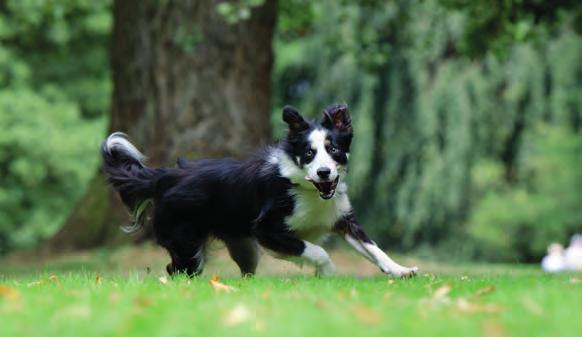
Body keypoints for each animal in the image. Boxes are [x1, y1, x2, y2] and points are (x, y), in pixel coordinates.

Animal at [101, 103, 420, 276]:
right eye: (308, 153)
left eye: (334, 150)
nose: (324, 172)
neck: (307, 189)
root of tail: (166, 176)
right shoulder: (266, 230)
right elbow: (315, 250)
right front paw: (327, 273)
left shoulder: (341, 218)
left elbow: (374, 248)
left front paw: (401, 270)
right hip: (186, 243)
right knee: (176, 270)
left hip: (241, 246)